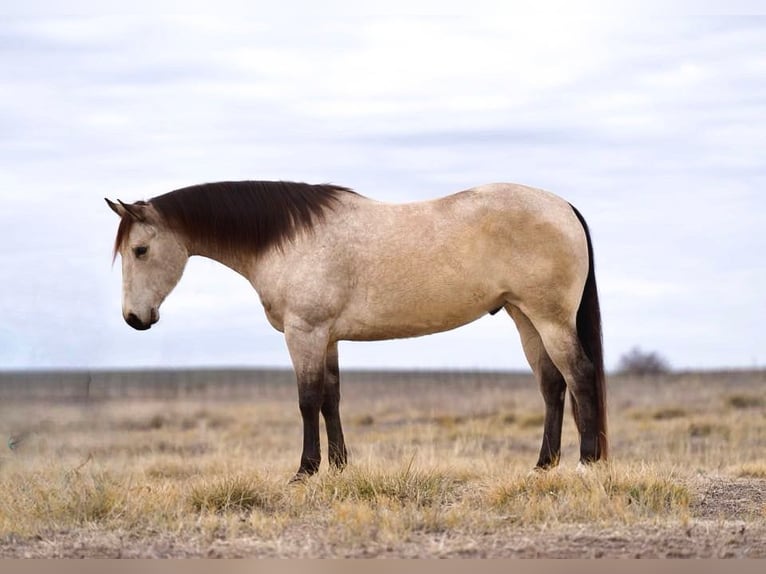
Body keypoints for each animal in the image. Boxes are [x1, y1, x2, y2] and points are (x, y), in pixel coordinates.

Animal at [108, 181, 608, 482]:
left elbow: (307, 400)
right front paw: (339, 467)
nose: (135, 318)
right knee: (552, 385)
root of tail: (563, 206)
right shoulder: (326, 337)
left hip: (550, 319)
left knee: (580, 376)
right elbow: (331, 398)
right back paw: (543, 466)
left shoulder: (304, 333)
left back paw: (587, 463)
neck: (287, 240)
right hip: (525, 317)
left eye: (140, 250)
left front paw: (305, 470)